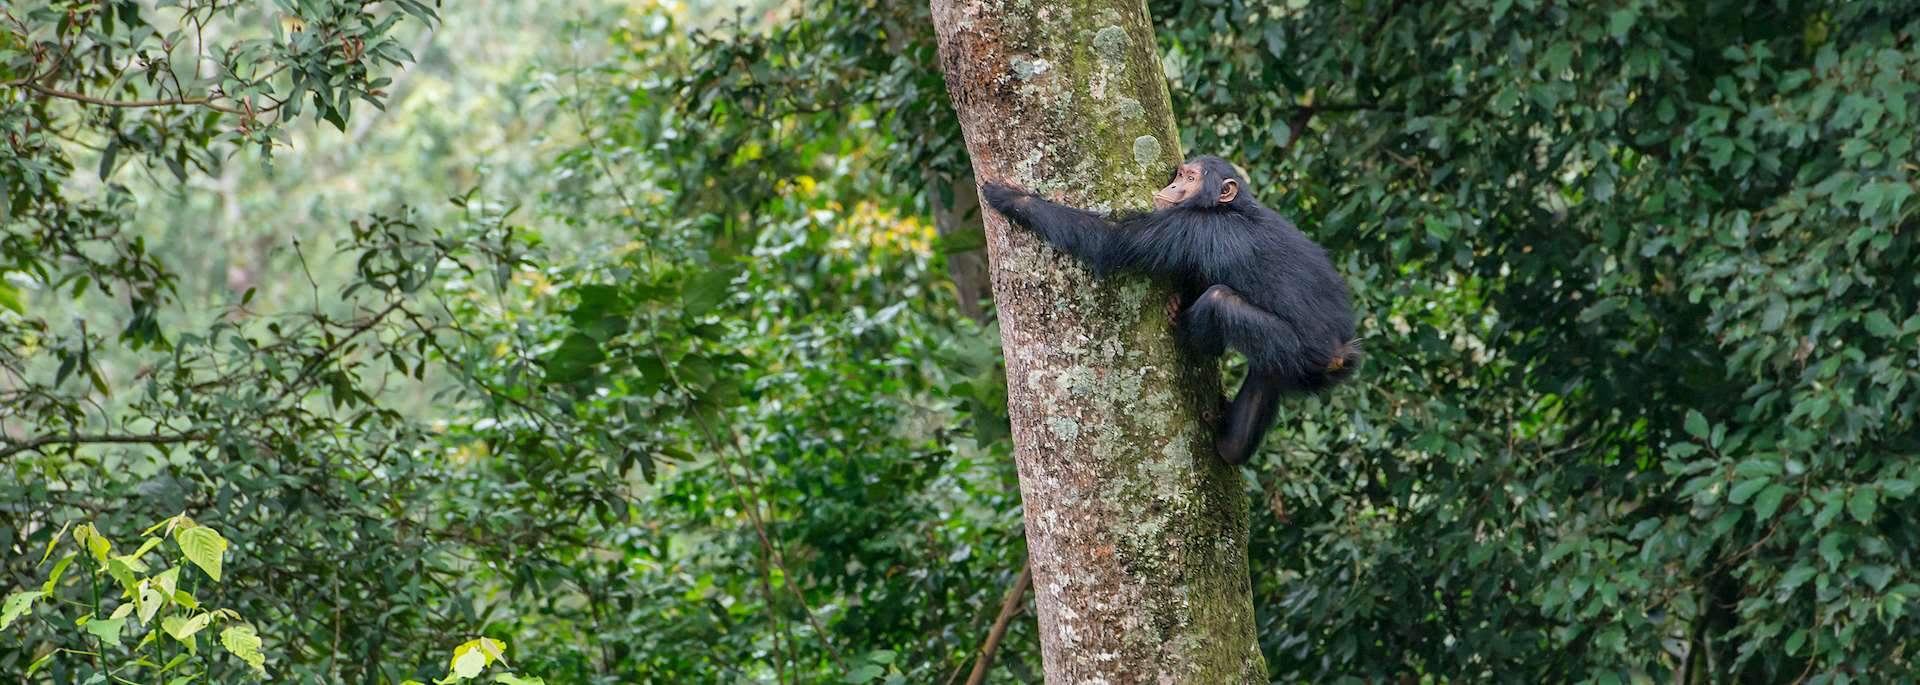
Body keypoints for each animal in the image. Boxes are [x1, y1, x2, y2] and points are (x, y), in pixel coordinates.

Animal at [981, 155, 1359, 465]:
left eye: (1191, 178)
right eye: (1180, 174)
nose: (1174, 184)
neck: (1229, 207)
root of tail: (1341, 353)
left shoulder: (1187, 225)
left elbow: (1111, 240)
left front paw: (1010, 198)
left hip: (1292, 349)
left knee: (1219, 300)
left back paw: (1188, 332)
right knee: (1263, 380)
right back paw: (1230, 445)